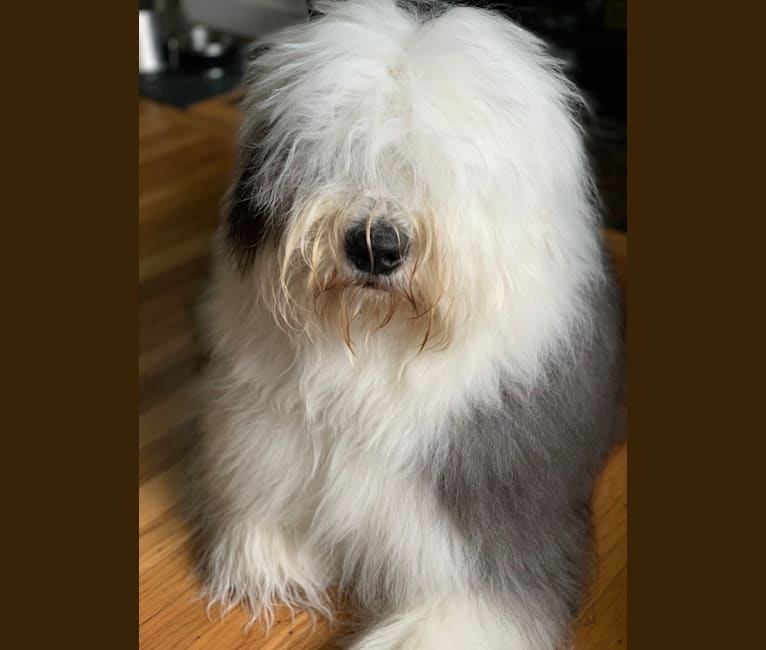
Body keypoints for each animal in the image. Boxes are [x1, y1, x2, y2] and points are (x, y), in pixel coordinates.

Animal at [192, 2, 624, 644]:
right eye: (331, 156)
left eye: (443, 171)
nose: (376, 246)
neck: (377, 349)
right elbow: (263, 520)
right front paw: (275, 561)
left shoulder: (490, 535)